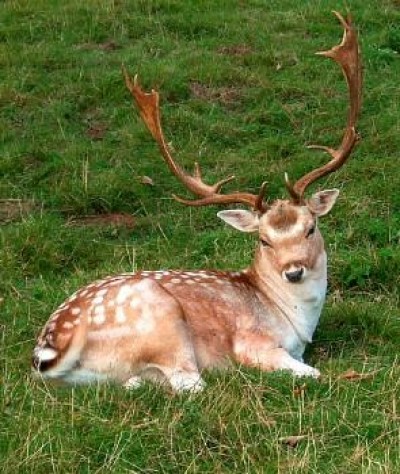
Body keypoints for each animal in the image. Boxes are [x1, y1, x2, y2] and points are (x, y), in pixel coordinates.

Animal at [32, 12, 362, 392]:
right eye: (263, 240)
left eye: (310, 228)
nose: (294, 271)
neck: (293, 319)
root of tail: (47, 352)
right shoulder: (252, 340)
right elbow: (306, 370)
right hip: (163, 320)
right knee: (189, 384)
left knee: (136, 384)